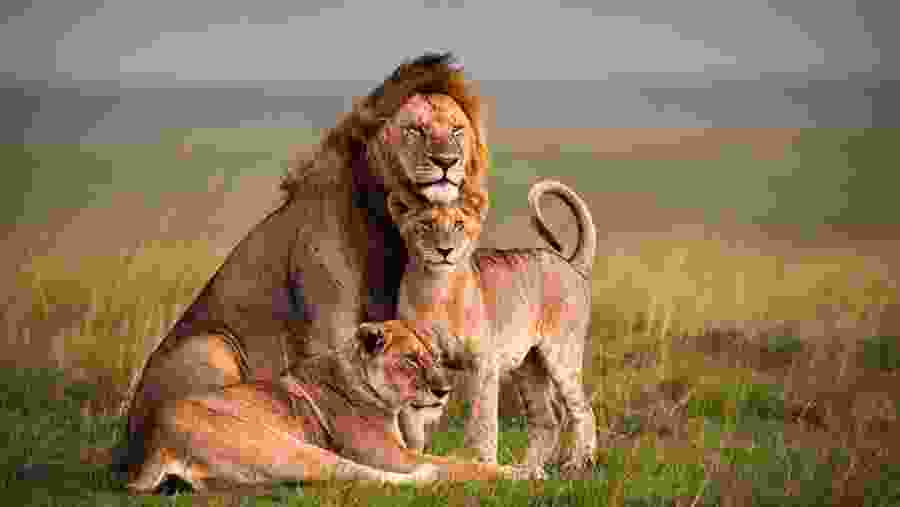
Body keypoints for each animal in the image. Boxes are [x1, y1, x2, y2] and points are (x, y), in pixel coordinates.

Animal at [116, 52, 490, 476]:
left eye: (457, 131)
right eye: (415, 129)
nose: (447, 161)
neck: (384, 223)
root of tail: (126, 446)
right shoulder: (329, 325)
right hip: (211, 345)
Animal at [127, 320, 540, 494]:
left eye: (434, 357)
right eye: (410, 359)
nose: (444, 390)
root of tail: (155, 440)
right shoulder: (394, 456)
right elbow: (463, 465)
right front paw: (522, 472)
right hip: (284, 446)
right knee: (360, 474)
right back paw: (431, 476)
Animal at [387, 179, 598, 472]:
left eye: (459, 225)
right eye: (426, 224)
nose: (444, 251)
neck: (436, 288)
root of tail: (570, 263)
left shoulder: (484, 362)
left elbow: (483, 421)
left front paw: (484, 465)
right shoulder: (423, 358)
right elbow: (413, 419)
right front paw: (415, 458)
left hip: (562, 354)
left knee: (582, 410)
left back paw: (578, 464)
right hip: (528, 366)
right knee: (547, 419)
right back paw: (527, 471)